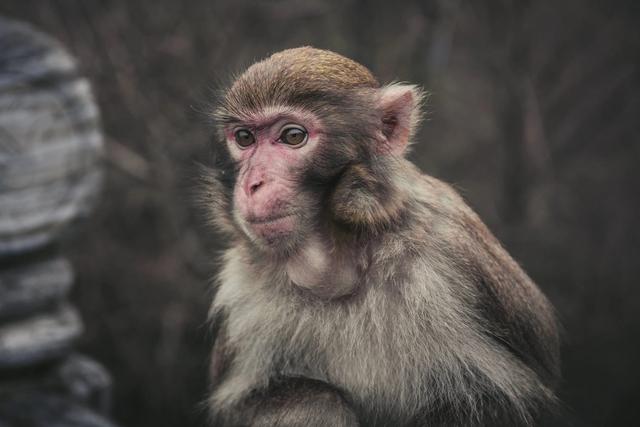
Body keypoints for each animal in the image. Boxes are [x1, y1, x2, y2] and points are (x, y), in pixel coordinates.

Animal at [202, 47, 556, 427]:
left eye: (293, 136)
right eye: (244, 138)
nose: (252, 184)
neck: (339, 267)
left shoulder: (448, 250)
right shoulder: (242, 293)